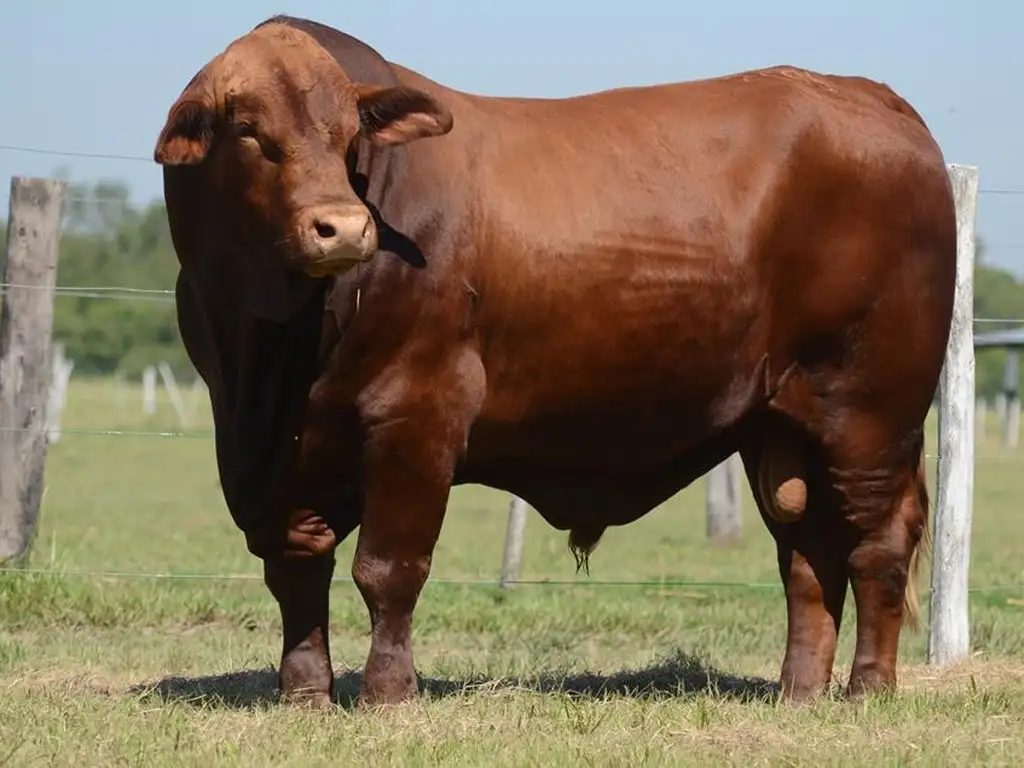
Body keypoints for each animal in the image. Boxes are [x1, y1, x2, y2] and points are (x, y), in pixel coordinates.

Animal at [153, 15, 958, 708]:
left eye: (351, 134)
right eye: (250, 133)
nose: (344, 228)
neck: (271, 348)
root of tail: (873, 98)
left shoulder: (417, 414)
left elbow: (388, 569)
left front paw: (388, 694)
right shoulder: (273, 452)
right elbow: (296, 570)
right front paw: (305, 695)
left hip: (870, 415)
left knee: (877, 545)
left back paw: (868, 688)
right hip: (782, 428)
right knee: (807, 556)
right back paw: (799, 693)